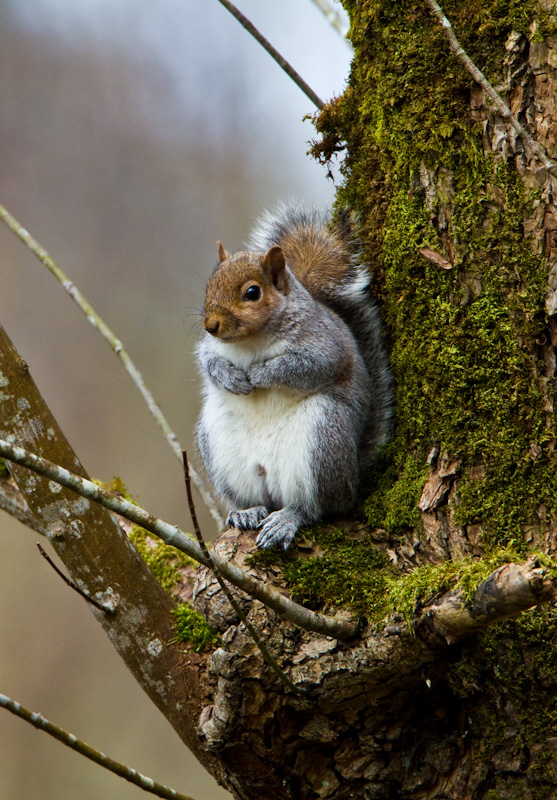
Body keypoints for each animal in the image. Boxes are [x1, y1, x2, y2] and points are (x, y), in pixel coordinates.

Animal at [195, 205, 390, 552]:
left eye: (252, 293)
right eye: (210, 286)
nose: (211, 325)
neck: (251, 341)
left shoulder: (324, 347)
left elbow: (303, 367)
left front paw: (260, 374)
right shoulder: (210, 347)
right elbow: (208, 362)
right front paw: (229, 377)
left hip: (322, 436)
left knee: (317, 508)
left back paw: (287, 519)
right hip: (220, 446)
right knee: (253, 499)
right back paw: (247, 512)